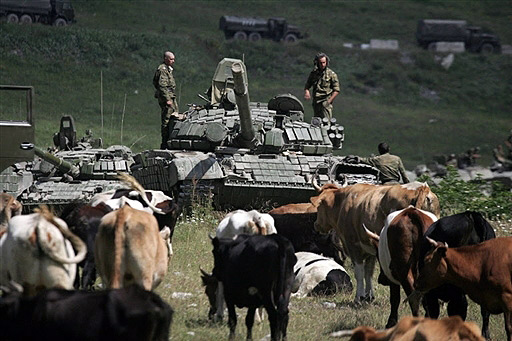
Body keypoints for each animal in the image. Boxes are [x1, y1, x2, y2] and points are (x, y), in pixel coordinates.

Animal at [312, 179, 440, 302]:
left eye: (318, 206)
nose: (316, 225)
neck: (343, 202)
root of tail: (422, 187)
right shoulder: (371, 251)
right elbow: (369, 272)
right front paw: (369, 296)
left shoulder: (353, 246)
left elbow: (359, 273)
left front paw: (359, 297)